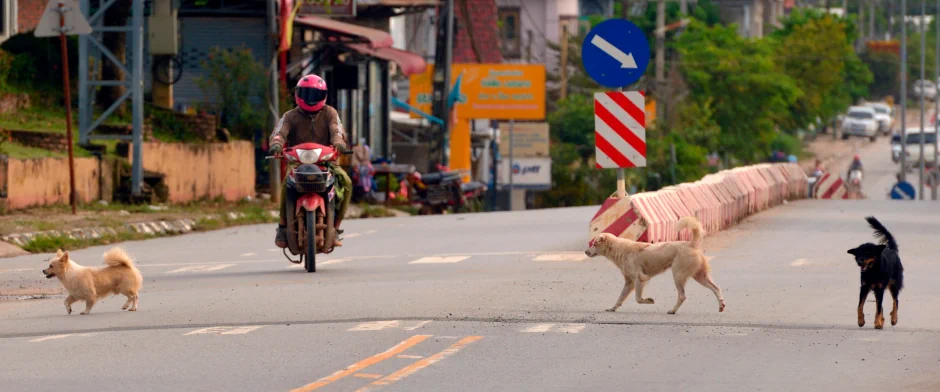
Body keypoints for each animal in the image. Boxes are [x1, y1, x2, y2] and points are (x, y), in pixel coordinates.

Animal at [588, 217, 728, 316]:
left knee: (682, 295)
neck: (618, 249)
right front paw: (612, 308)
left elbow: (638, 299)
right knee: (716, 288)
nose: (586, 252)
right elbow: (620, 297)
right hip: (699, 275)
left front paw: (649, 300)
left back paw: (672, 310)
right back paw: (721, 305)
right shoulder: (629, 282)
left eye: (594, 244)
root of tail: (691, 244)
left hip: (678, 275)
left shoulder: (640, 279)